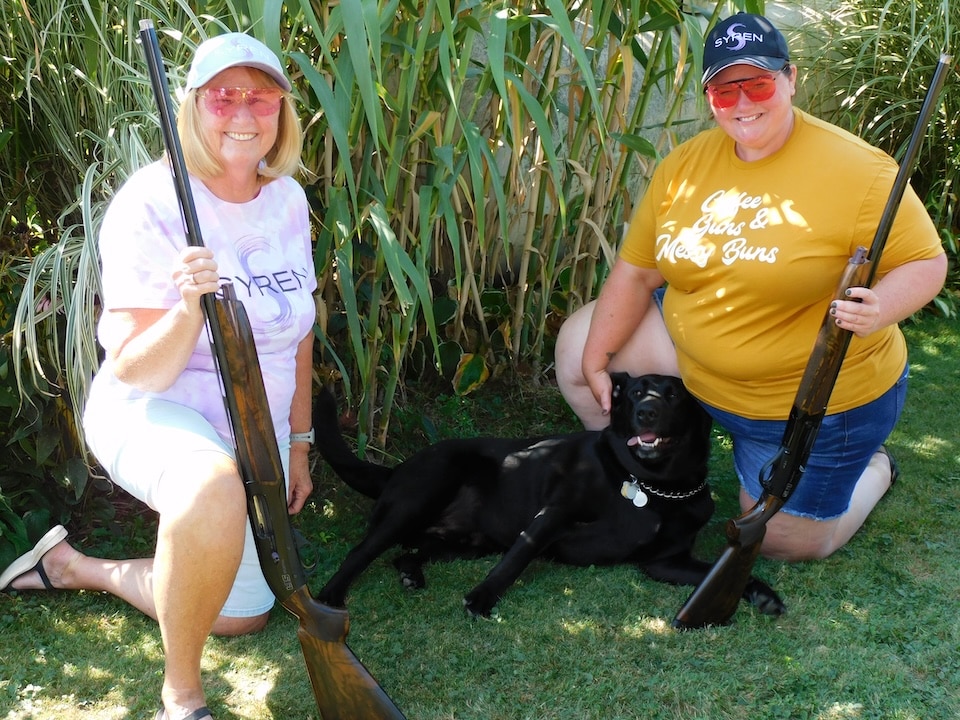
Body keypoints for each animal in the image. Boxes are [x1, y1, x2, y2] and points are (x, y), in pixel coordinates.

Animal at [312, 372, 784, 620]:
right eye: (634, 392)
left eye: (674, 394)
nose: (646, 412)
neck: (654, 485)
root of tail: (398, 467)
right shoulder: (553, 513)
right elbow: (518, 558)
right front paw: (482, 597)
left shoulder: (665, 562)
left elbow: (712, 572)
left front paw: (761, 593)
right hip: (417, 498)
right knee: (363, 550)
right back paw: (330, 597)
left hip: (464, 543)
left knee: (408, 553)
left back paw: (411, 573)